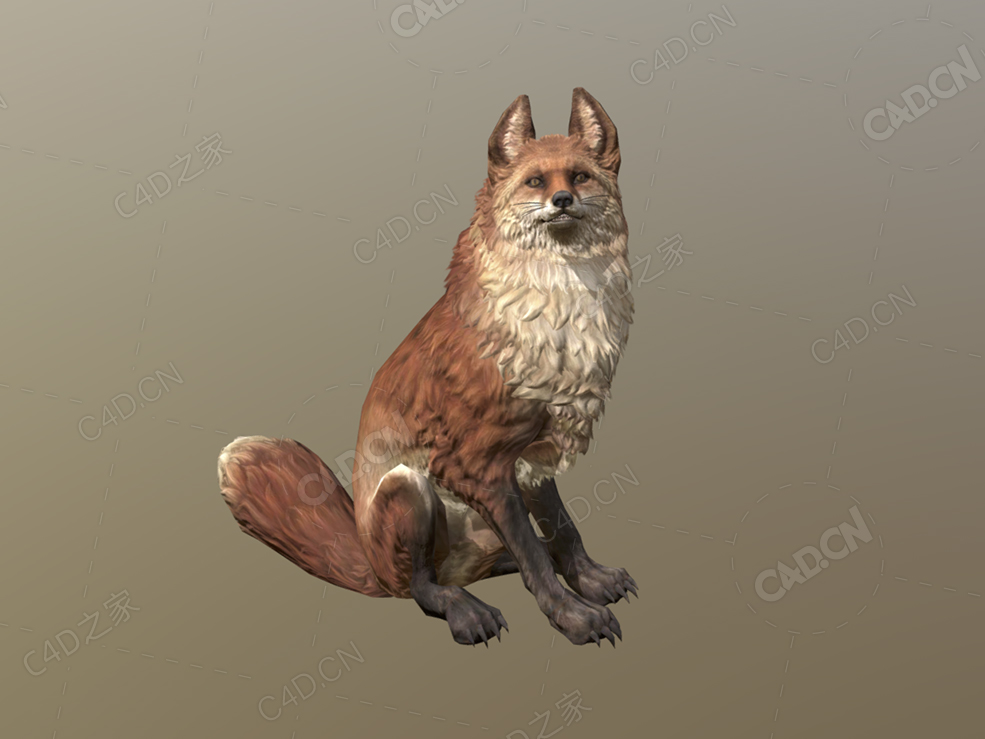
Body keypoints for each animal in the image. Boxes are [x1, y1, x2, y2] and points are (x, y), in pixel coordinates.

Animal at [217, 87, 638, 648]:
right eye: (535, 181)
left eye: (580, 176)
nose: (563, 200)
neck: (559, 316)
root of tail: (370, 566)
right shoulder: (476, 466)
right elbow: (536, 556)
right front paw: (574, 617)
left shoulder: (534, 461)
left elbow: (563, 532)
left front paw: (591, 582)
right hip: (408, 489)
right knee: (423, 586)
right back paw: (463, 610)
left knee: (495, 562)